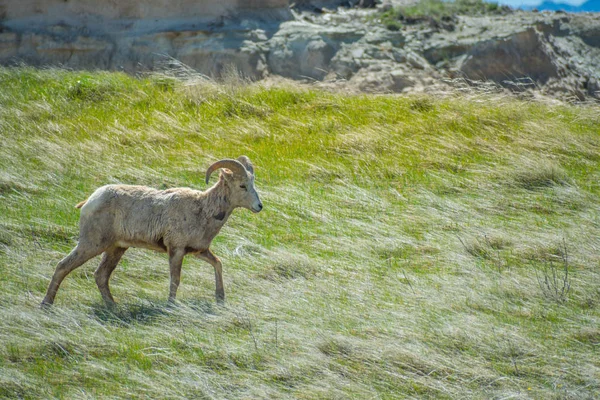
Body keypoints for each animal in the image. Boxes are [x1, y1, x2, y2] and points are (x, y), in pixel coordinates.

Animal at [42, 156, 262, 306]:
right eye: (242, 186)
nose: (259, 206)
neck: (202, 210)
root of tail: (89, 201)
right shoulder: (176, 250)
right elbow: (175, 280)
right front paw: (171, 305)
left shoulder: (199, 251)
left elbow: (218, 264)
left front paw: (220, 298)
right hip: (92, 244)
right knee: (63, 267)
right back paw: (46, 305)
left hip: (115, 249)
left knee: (101, 276)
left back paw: (113, 307)